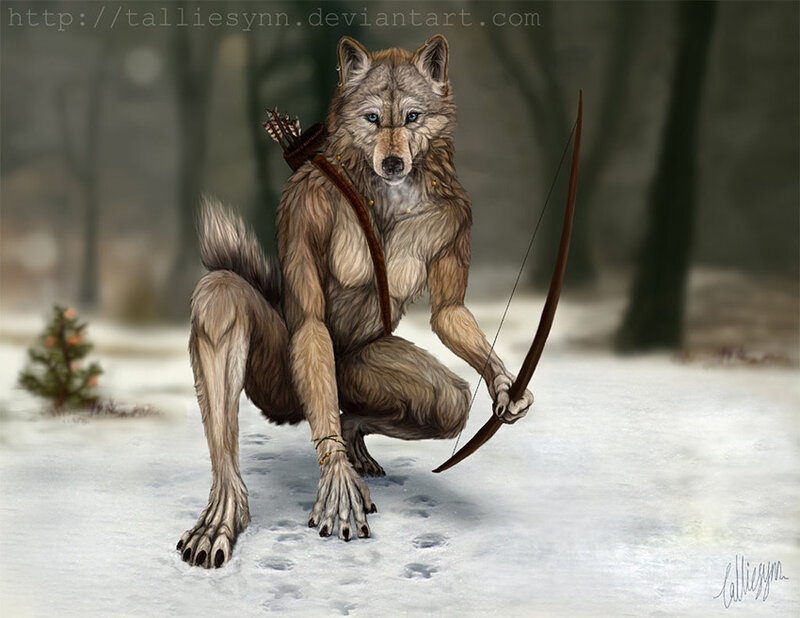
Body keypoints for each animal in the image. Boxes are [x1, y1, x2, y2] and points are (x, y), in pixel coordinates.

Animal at [177, 35, 533, 568]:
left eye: (412, 117)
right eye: (372, 118)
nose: (393, 163)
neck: (386, 193)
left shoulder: (458, 218)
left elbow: (449, 312)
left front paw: (506, 387)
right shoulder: (304, 204)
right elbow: (309, 318)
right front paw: (337, 482)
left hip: (361, 375)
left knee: (438, 401)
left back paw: (352, 440)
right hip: (283, 382)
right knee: (222, 298)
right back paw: (224, 513)